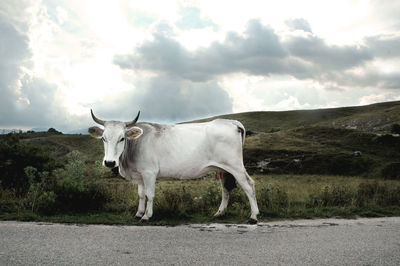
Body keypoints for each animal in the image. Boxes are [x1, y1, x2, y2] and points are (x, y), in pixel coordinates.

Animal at [88, 109, 260, 222]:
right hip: (223, 168)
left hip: (235, 166)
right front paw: (138, 213)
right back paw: (219, 213)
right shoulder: (140, 174)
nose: (109, 162)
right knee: (226, 189)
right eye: (103, 138)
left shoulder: (149, 172)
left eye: (122, 138)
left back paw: (253, 216)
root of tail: (231, 122)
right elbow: (141, 194)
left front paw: (147, 216)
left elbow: (149, 194)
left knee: (249, 185)